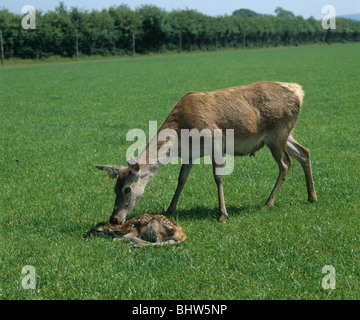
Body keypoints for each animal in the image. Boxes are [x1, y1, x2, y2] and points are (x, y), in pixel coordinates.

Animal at [95, 81, 318, 224]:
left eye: (127, 189)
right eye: (114, 188)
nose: (114, 218)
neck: (181, 136)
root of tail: (299, 91)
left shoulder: (216, 142)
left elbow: (218, 178)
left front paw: (222, 215)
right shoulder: (190, 154)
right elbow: (181, 179)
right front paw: (170, 209)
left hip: (277, 134)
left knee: (286, 163)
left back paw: (268, 203)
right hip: (285, 134)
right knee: (304, 152)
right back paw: (312, 196)